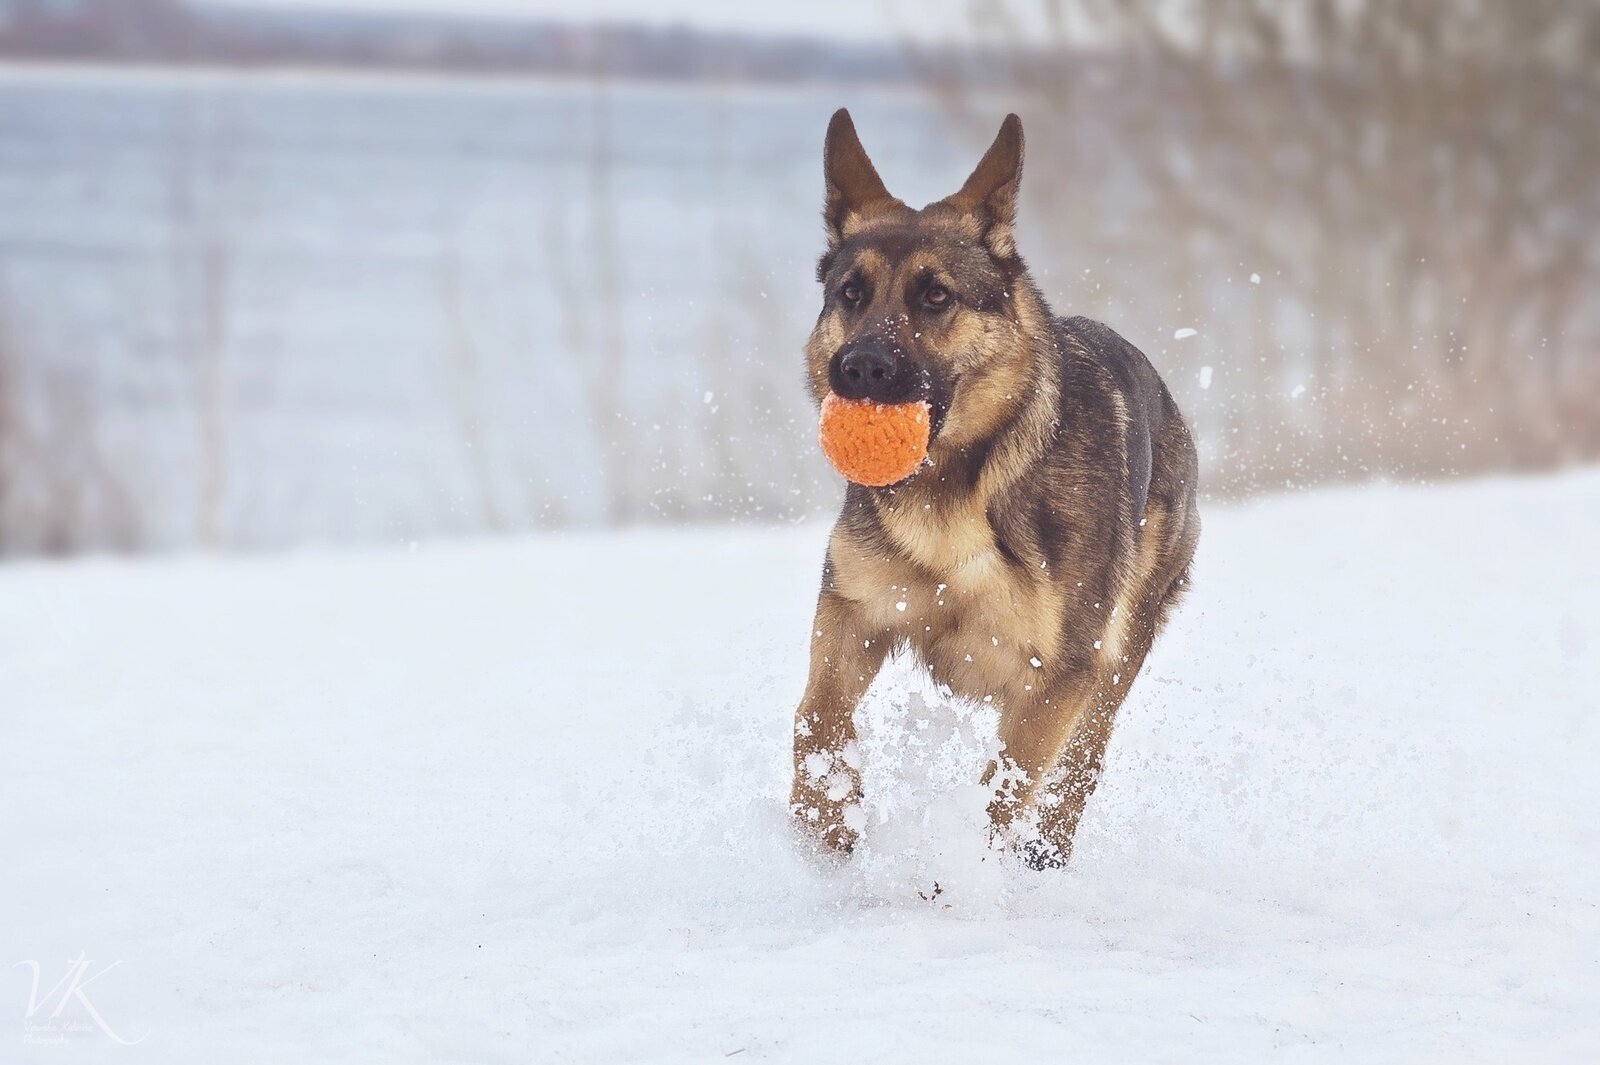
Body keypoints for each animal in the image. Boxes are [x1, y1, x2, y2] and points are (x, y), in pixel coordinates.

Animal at [787, 111, 1203, 869]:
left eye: (936, 296)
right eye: (851, 294)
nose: (858, 369)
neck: (954, 494)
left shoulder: (1059, 673)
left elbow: (1004, 788)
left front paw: (957, 870)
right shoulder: (854, 614)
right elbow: (816, 723)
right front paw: (829, 818)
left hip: (1117, 657)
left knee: (1081, 766)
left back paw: (1044, 856)